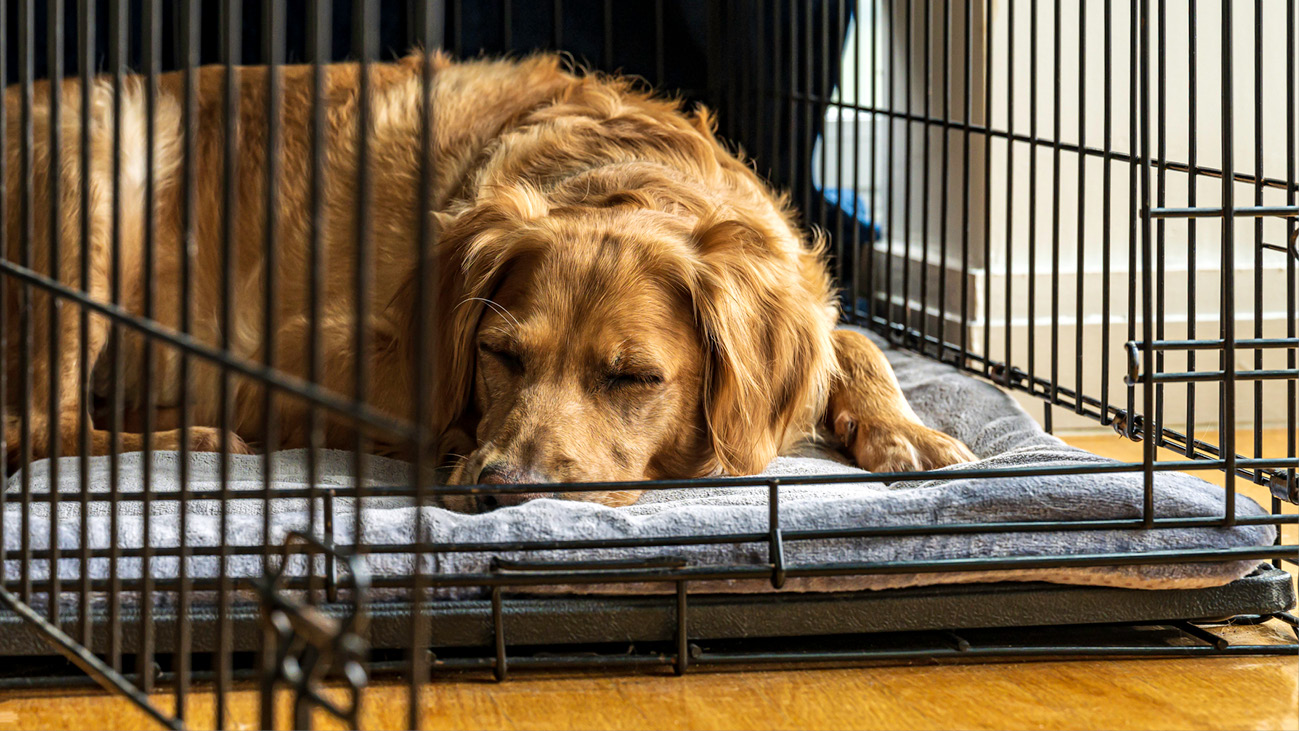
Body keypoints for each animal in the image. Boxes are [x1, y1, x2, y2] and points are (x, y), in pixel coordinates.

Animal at [2, 52, 976, 508]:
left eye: (634, 378)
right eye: (500, 356)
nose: (502, 487)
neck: (619, 175)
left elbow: (850, 339)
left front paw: (906, 430)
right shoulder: (312, 349)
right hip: (104, 155)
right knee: (45, 428)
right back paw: (196, 440)